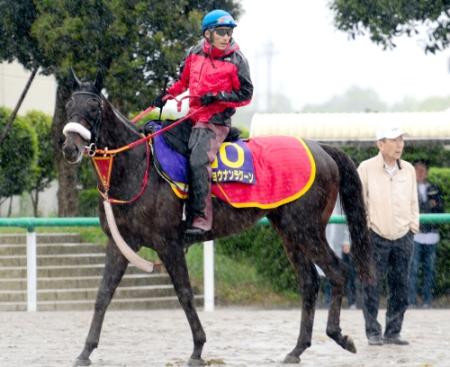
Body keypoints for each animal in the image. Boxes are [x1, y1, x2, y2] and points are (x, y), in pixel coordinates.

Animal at [61, 77, 374, 366]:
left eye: (94, 106)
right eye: (68, 105)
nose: (69, 147)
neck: (140, 167)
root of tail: (321, 148)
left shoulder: (169, 244)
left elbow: (185, 294)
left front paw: (198, 348)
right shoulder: (121, 244)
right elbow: (103, 294)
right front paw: (85, 351)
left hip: (307, 230)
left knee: (337, 272)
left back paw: (338, 334)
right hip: (289, 232)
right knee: (309, 283)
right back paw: (297, 349)